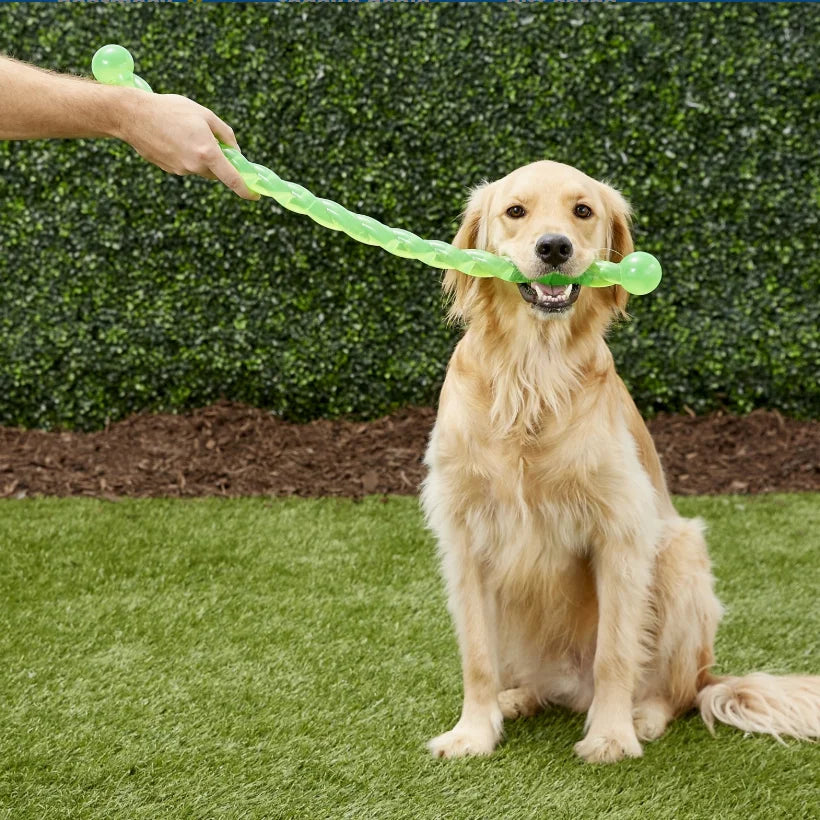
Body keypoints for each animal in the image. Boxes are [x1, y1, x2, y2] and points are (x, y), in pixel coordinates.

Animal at [422, 160, 820, 764]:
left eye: (583, 211)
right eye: (515, 211)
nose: (555, 246)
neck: (532, 376)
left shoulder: (619, 532)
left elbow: (615, 652)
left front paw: (610, 736)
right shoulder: (465, 534)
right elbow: (477, 657)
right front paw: (473, 732)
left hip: (680, 556)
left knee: (680, 693)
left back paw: (643, 715)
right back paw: (518, 698)